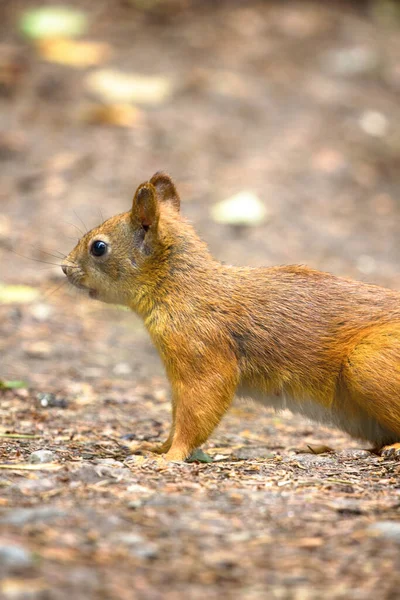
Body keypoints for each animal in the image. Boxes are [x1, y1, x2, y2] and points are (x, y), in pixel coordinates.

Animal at [61, 171, 400, 462]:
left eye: (98, 247)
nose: (64, 267)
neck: (179, 289)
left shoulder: (204, 352)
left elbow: (197, 412)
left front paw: (170, 457)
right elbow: (176, 418)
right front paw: (157, 448)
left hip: (369, 362)